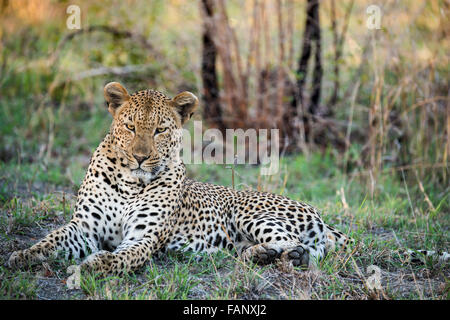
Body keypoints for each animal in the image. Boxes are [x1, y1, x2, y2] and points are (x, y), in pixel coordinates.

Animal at [7, 81, 446, 274]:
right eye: (130, 127)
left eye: (160, 130)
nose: (140, 157)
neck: (131, 183)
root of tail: (318, 214)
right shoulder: (84, 227)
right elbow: (52, 239)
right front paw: (21, 257)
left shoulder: (143, 237)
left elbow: (123, 256)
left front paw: (95, 265)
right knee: (309, 250)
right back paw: (256, 256)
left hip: (254, 214)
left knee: (305, 248)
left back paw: (267, 256)